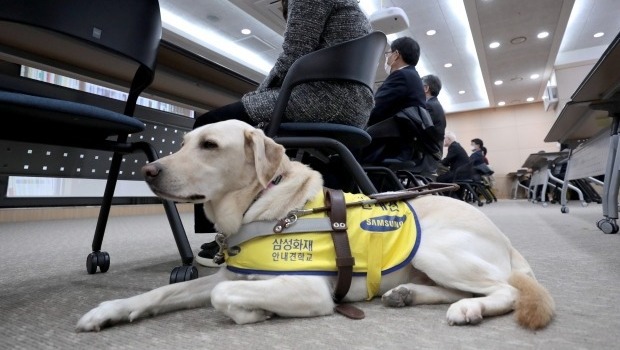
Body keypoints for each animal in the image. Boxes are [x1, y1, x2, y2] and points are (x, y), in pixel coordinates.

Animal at [75, 119, 556, 330]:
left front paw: (253, 312)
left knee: (506, 291)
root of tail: (507, 242)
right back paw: (406, 294)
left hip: (436, 249)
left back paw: (470, 309)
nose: (148, 170)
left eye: (209, 145)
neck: (262, 207)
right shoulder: (233, 274)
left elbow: (219, 295)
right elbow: (163, 292)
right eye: (184, 143)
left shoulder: (306, 288)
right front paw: (107, 310)